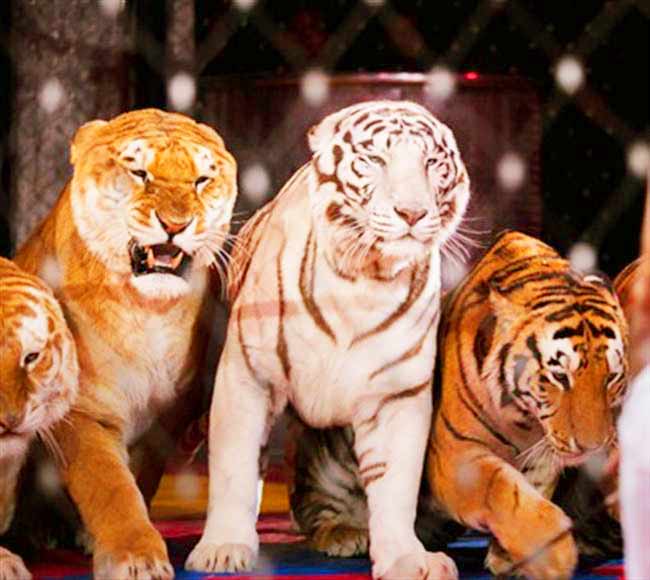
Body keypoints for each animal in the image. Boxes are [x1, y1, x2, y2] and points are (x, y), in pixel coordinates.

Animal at [13, 109, 237, 580]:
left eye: (202, 180)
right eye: (139, 173)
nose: (175, 226)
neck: (148, 311)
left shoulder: (170, 412)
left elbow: (141, 476)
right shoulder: (81, 411)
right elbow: (109, 485)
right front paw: (134, 555)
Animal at [185, 101, 468, 580]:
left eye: (432, 163)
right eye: (375, 160)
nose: (412, 213)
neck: (364, 280)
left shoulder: (396, 394)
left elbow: (396, 485)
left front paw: (406, 558)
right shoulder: (248, 376)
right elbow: (234, 469)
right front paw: (222, 549)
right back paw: (344, 535)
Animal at [290, 232, 628, 580]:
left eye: (611, 377)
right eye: (560, 376)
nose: (593, 446)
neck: (525, 419)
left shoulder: (542, 459)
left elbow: (530, 493)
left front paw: (512, 557)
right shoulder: (456, 455)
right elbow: (504, 491)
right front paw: (555, 552)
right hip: (336, 455)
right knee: (310, 504)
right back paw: (346, 533)